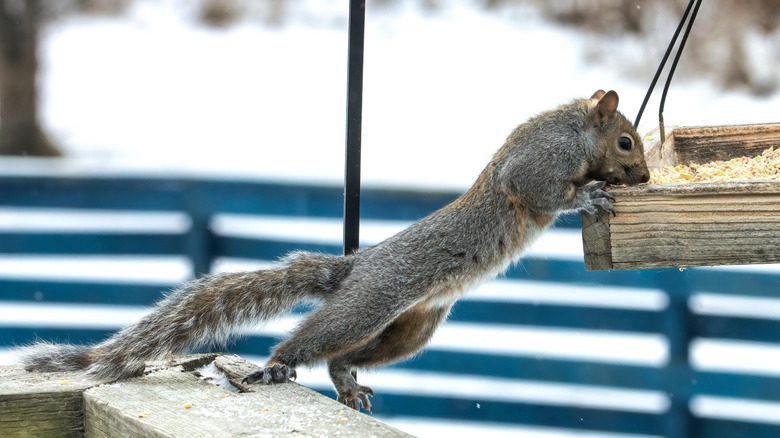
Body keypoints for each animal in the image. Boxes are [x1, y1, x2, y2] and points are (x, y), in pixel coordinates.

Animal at [18, 90, 649, 413]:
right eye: (625, 141)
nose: (643, 177)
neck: (572, 132)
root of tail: (355, 266)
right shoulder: (536, 166)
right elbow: (540, 191)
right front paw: (589, 196)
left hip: (411, 330)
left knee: (344, 357)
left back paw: (347, 384)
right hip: (371, 304)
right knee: (314, 340)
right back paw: (278, 365)